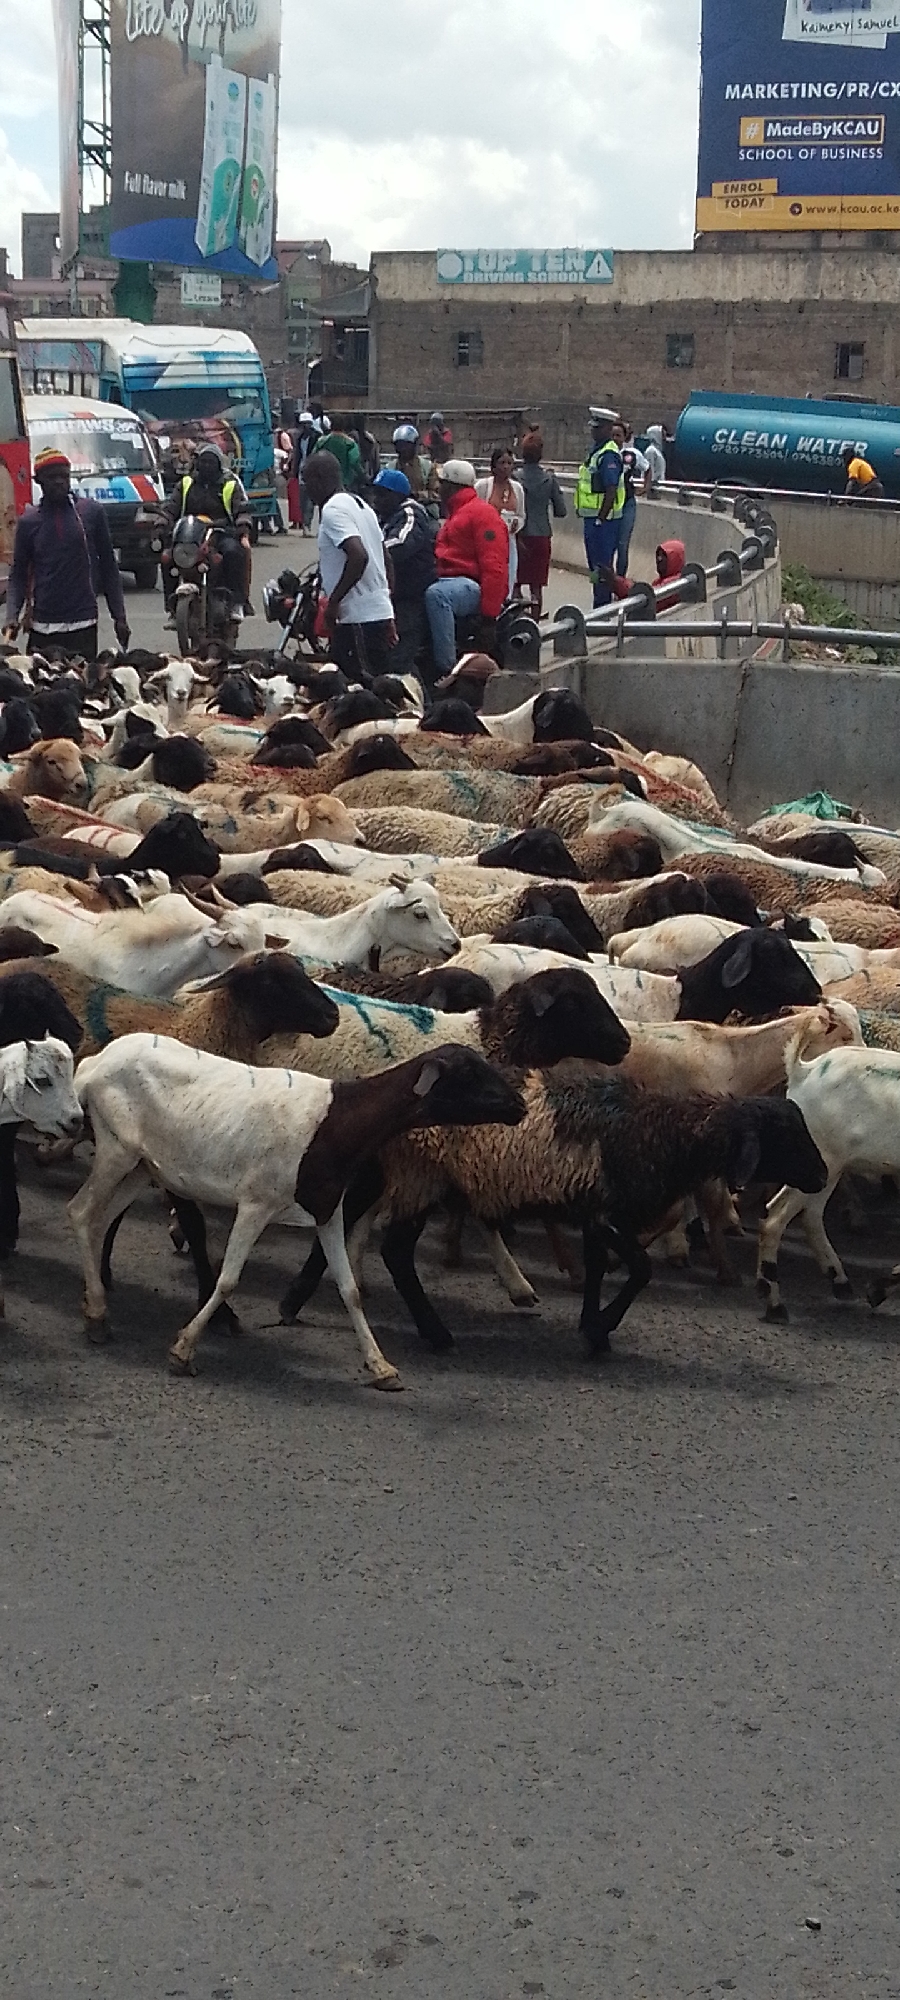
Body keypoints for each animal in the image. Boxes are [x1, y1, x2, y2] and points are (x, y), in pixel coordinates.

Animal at [69, 1036, 525, 1386]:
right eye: (468, 1073)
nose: (520, 1104)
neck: (337, 1121)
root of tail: (94, 1063)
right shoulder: (256, 1203)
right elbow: (229, 1280)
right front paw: (183, 1350)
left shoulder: (328, 1210)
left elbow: (350, 1289)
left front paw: (381, 1366)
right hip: (116, 1148)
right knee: (81, 1212)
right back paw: (96, 1315)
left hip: (143, 1166)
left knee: (98, 1221)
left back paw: (96, 1310)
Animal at [756, 1019, 900, 1319]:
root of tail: (803, 1071)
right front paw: (877, 1290)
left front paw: (877, 1290)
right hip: (821, 1161)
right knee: (775, 1218)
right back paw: (775, 1305)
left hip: (826, 1168)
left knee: (808, 1215)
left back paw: (839, 1281)